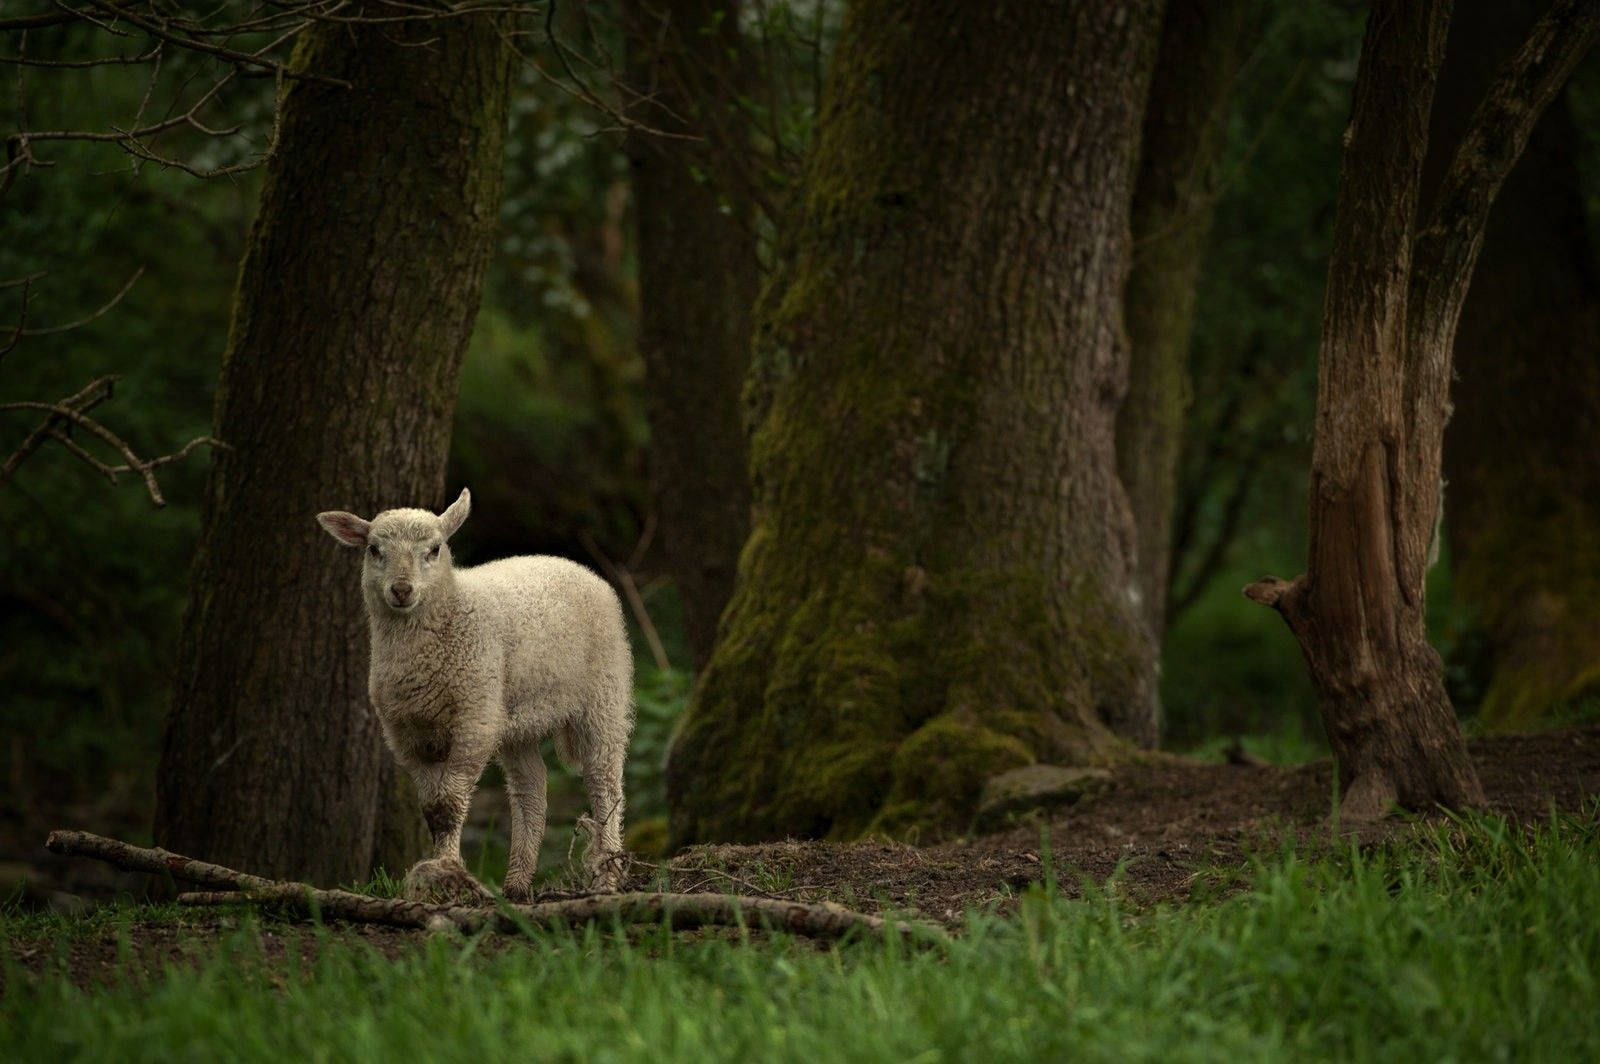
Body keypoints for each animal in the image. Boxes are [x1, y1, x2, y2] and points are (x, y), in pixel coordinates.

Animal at [315, 486, 633, 896]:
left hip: (603, 694)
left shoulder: (473, 719)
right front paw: (440, 872)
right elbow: (432, 809)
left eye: (434, 549)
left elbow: (449, 804)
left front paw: (448, 872)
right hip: (513, 714)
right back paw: (517, 883)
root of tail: (578, 567)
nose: (401, 590)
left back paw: (607, 874)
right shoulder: (408, 734)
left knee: (604, 780)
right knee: (531, 788)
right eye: (373, 549)